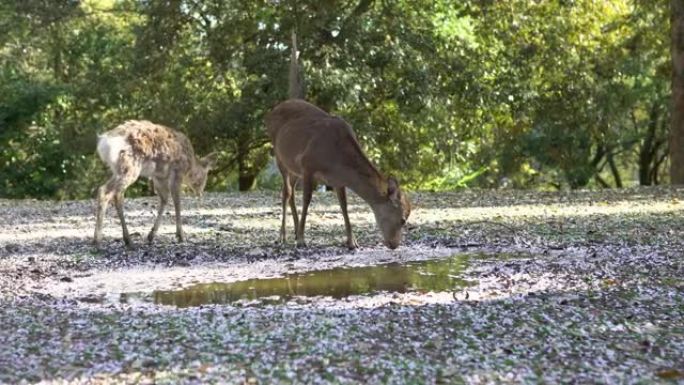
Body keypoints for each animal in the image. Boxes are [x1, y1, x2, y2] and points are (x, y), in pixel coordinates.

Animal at [93, 118, 216, 248]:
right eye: (206, 175)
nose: (200, 193)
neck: (189, 166)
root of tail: (104, 144)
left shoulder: (158, 176)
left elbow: (164, 199)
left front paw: (151, 235)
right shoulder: (177, 172)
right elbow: (177, 201)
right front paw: (181, 236)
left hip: (118, 169)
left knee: (117, 195)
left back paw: (128, 240)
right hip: (130, 166)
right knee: (105, 191)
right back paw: (97, 239)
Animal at [264, 32, 408, 249]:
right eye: (402, 219)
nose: (394, 244)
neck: (336, 159)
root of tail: (275, 108)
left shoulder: (337, 180)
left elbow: (344, 205)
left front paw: (352, 241)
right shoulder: (308, 165)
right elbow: (307, 199)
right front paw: (302, 239)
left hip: (293, 167)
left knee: (291, 193)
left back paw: (294, 231)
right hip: (280, 157)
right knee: (286, 193)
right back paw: (283, 236)